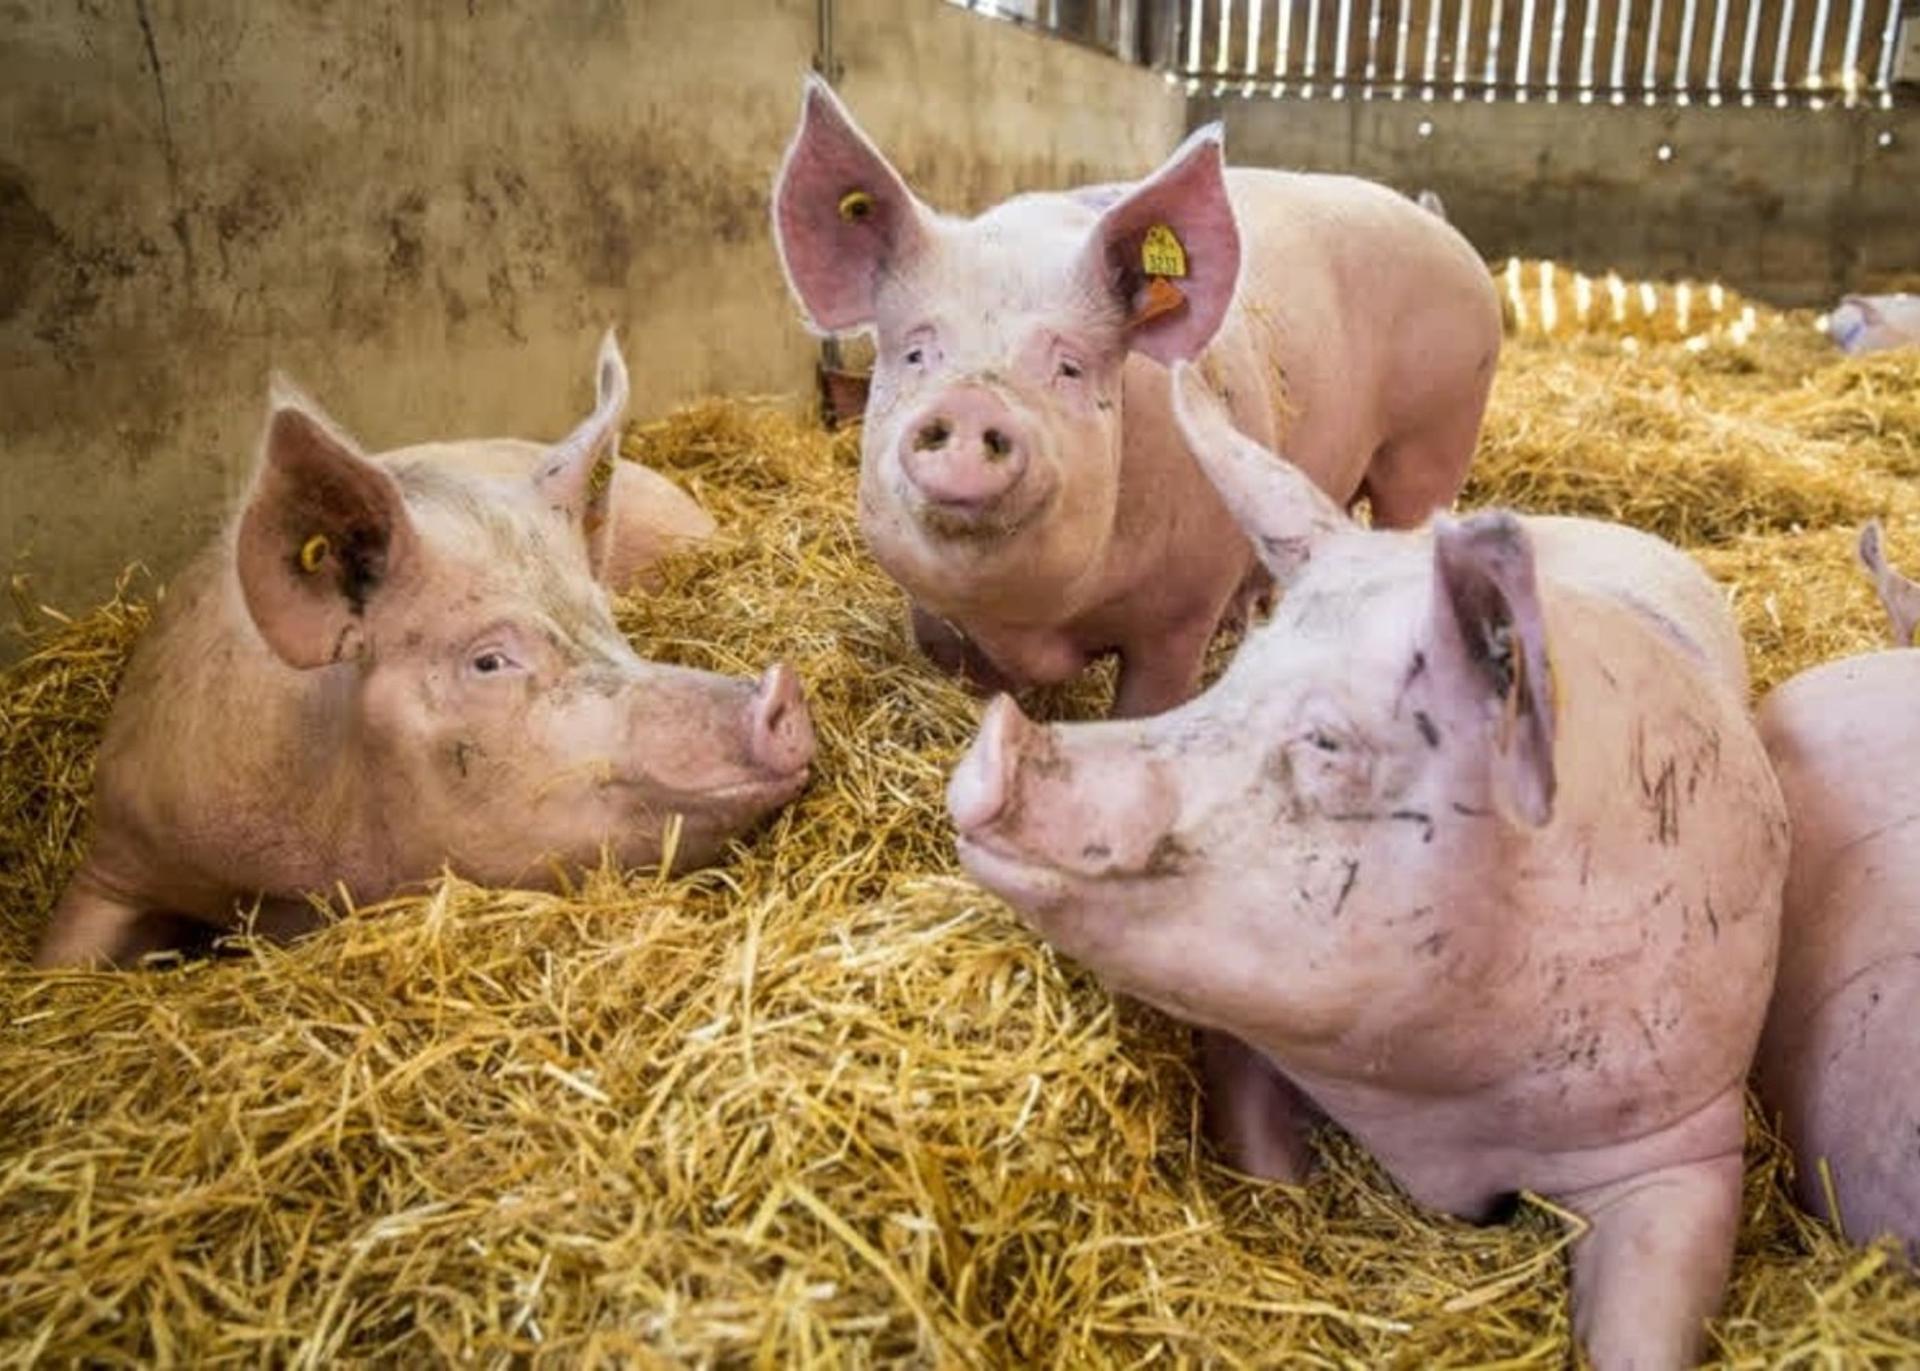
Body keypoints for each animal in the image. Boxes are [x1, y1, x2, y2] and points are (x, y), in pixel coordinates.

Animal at [771, 77, 1501, 718]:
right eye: (917, 353)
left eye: (1070, 366)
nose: (975, 400)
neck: (1035, 624)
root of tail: (1443, 230)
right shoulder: (933, 616)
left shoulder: (1181, 610)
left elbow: (1150, 699)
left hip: (1436, 435)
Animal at [946, 364, 1786, 1369]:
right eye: (1232, 676)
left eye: (1328, 741)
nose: (992, 744)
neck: (1436, 1107)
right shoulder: (1252, 1033)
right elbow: (1264, 1156)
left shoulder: (1686, 1131)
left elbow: (1646, 1327)